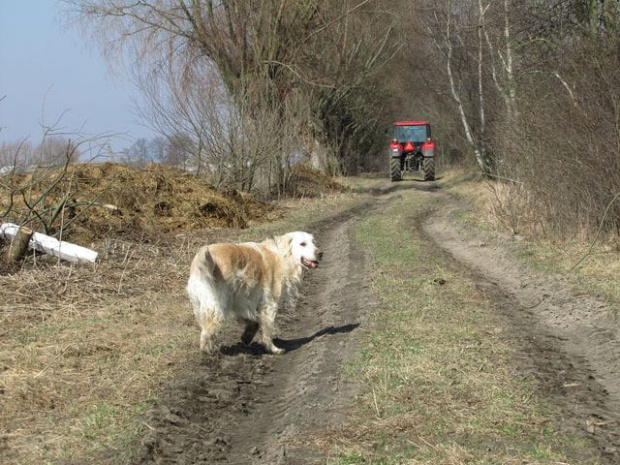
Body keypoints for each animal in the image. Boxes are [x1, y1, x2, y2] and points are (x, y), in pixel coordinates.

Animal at [185, 230, 322, 354]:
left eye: (313, 242)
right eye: (302, 244)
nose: (320, 253)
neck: (281, 255)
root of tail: (203, 254)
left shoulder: (241, 299)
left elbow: (252, 321)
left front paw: (247, 336)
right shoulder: (269, 304)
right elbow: (268, 329)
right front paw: (273, 349)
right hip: (218, 306)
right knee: (207, 331)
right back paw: (208, 352)